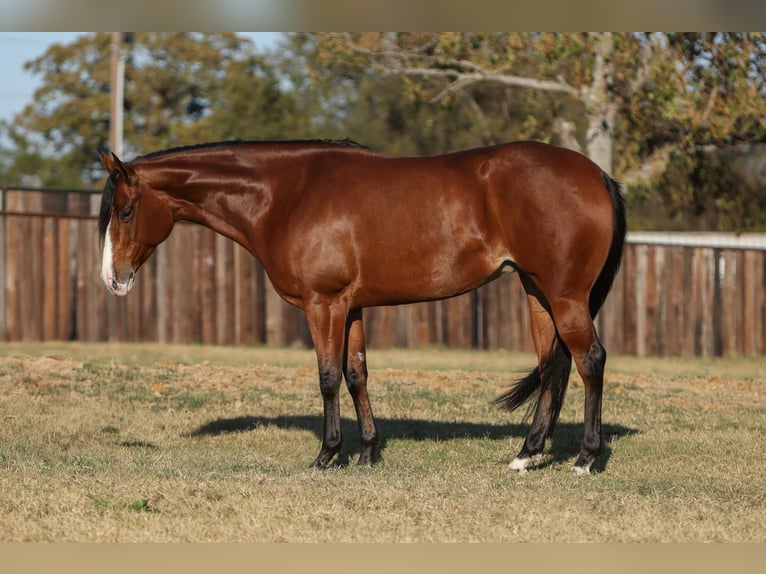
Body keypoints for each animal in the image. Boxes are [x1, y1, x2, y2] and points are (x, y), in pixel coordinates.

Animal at [98, 139, 626, 474]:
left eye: (124, 210)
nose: (112, 280)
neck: (288, 194)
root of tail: (597, 174)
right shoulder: (350, 308)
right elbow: (357, 374)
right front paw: (368, 452)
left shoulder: (323, 304)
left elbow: (329, 377)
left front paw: (327, 454)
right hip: (538, 293)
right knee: (553, 367)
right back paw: (525, 455)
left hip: (565, 296)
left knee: (589, 361)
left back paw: (585, 459)